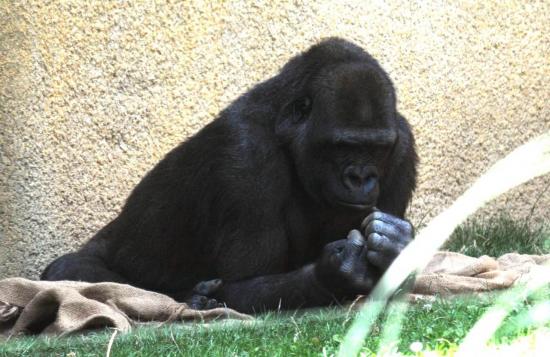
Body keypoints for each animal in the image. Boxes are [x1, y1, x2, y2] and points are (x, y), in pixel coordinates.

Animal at [40, 37, 418, 312]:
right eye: (343, 146)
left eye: (376, 149)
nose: (361, 177)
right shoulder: (245, 156)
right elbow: (238, 288)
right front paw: (336, 272)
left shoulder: (400, 143)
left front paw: (397, 244)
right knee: (72, 273)